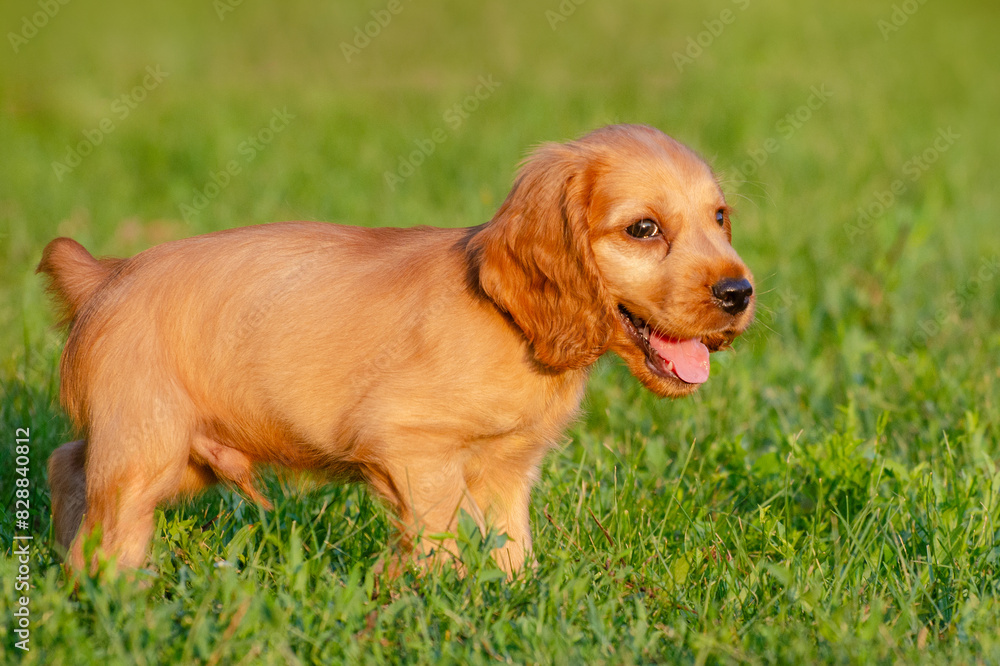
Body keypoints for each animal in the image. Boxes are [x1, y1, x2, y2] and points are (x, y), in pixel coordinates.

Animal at [41, 124, 756, 576]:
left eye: (720, 218)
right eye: (644, 229)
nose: (739, 292)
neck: (512, 324)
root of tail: (105, 275)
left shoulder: (506, 469)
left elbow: (511, 547)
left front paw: (517, 600)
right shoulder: (412, 446)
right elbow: (439, 540)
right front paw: (435, 602)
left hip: (179, 450)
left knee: (66, 463)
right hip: (148, 443)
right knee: (111, 520)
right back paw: (118, 592)